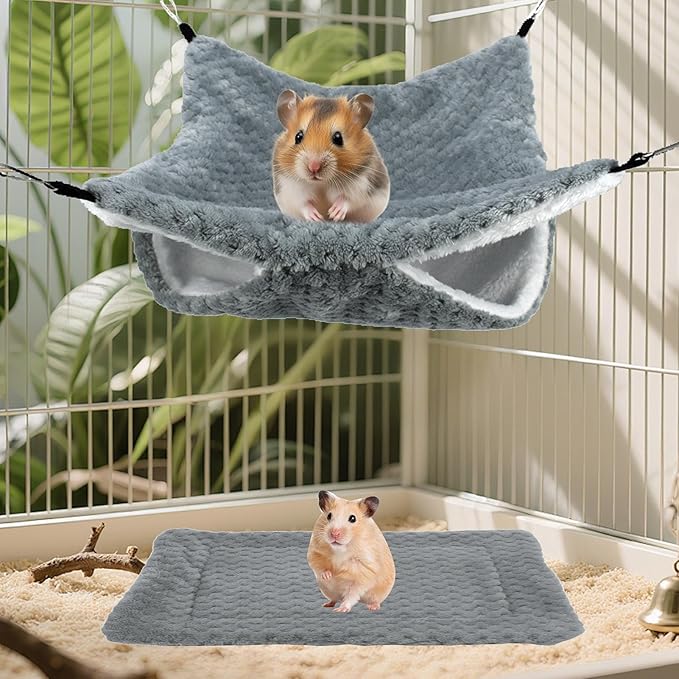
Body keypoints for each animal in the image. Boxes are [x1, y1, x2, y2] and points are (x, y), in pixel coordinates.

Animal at [272, 90, 390, 223]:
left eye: (338, 138)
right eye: (298, 136)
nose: (314, 167)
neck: (322, 183)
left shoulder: (361, 185)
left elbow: (347, 199)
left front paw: (334, 214)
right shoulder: (290, 190)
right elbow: (304, 204)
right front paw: (316, 218)